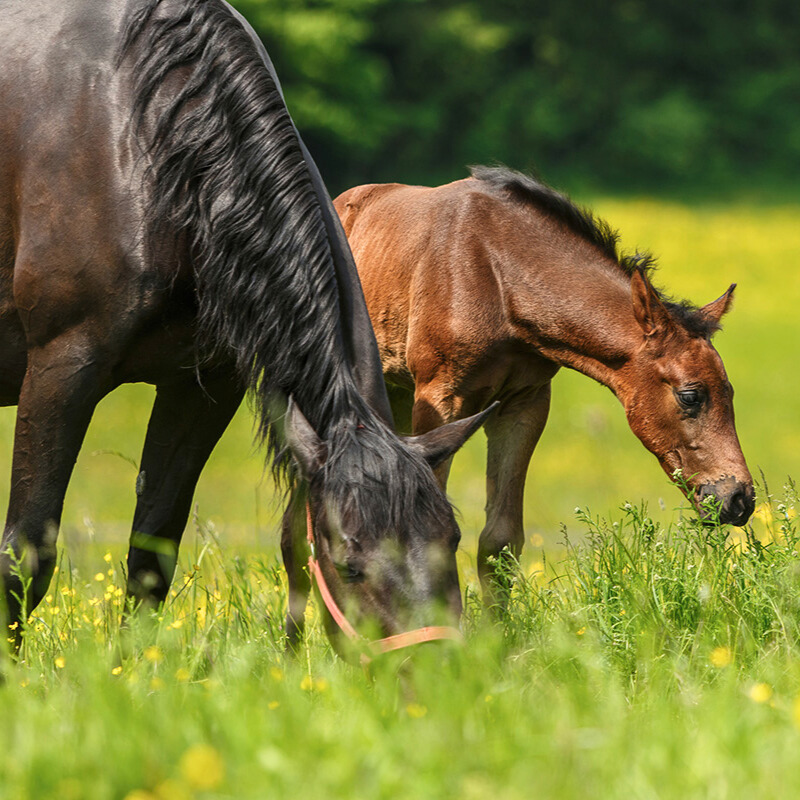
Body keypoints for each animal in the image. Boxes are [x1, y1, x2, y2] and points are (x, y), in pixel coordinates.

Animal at [0, 0, 494, 652]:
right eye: (349, 564)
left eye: (451, 542)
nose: (442, 669)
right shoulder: (62, 368)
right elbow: (26, 552)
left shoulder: (202, 388)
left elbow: (153, 550)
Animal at [332, 166, 756, 596]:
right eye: (690, 396)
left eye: (730, 391)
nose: (739, 498)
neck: (497, 278)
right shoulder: (441, 397)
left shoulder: (525, 403)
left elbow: (500, 540)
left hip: (396, 395)